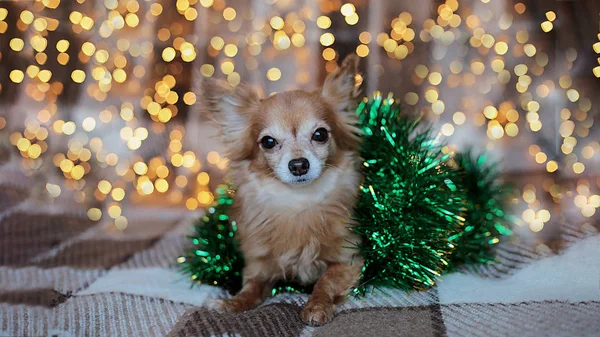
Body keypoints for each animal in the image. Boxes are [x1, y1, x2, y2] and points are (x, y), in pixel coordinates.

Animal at [203, 55, 360, 326]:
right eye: (268, 142)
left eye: (320, 135)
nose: (298, 165)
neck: (297, 203)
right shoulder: (260, 265)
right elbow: (251, 288)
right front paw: (231, 303)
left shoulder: (349, 259)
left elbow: (325, 281)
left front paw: (317, 306)